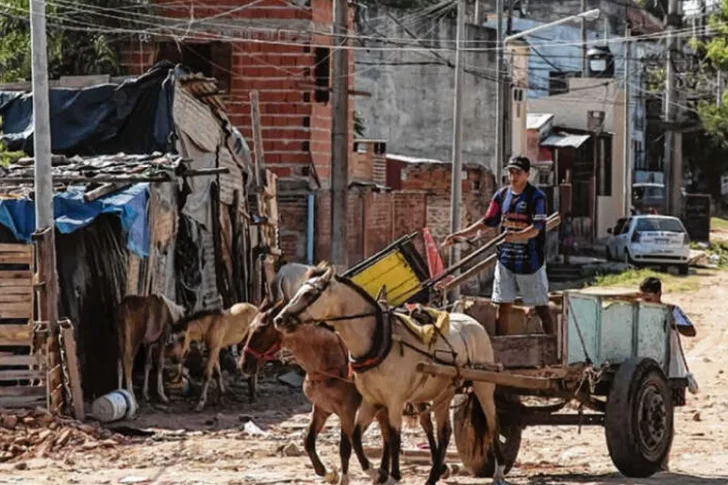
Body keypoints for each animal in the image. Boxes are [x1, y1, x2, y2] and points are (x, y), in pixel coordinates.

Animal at [272, 262, 506, 484]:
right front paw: (376, 473)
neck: (379, 342)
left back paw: (499, 471)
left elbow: (393, 437)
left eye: (310, 294)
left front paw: (391, 475)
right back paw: (433, 476)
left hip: (484, 385)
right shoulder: (371, 401)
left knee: (492, 422)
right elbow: (356, 436)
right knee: (444, 432)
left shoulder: (394, 401)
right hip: (444, 393)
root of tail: (474, 323)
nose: (280, 319)